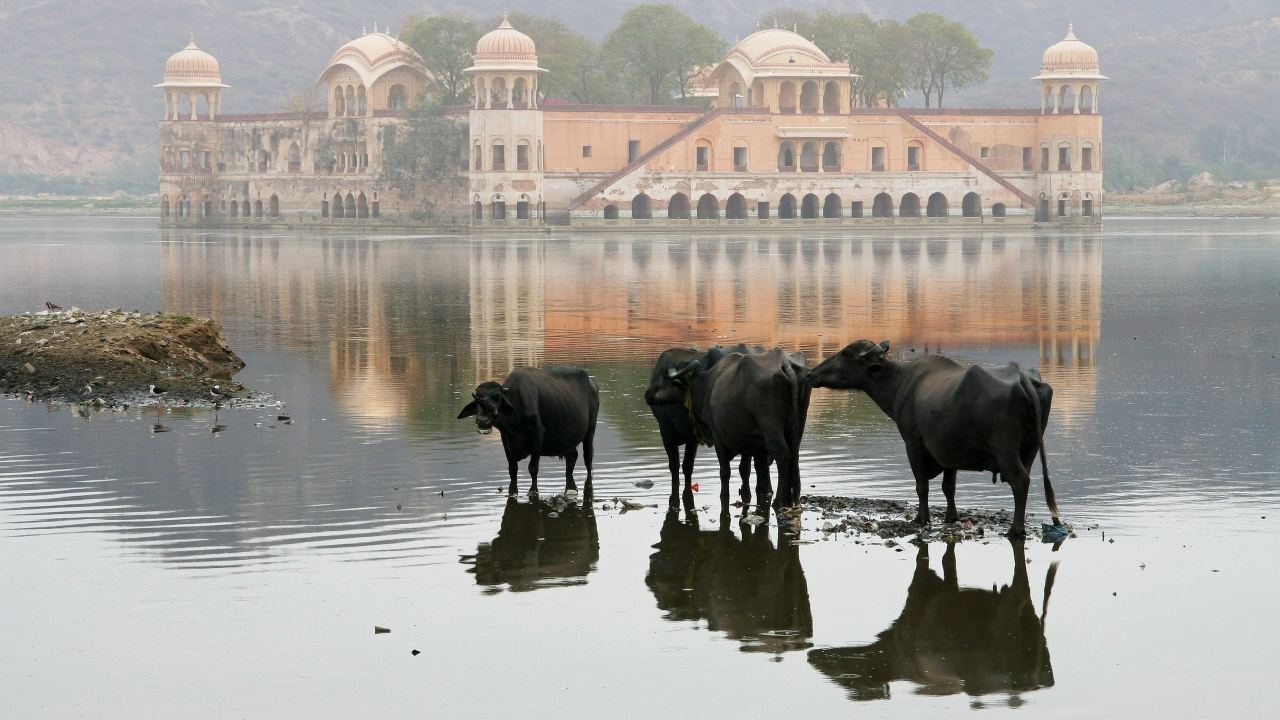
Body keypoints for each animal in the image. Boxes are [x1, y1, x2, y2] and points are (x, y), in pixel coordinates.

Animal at [457, 366, 599, 499]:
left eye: (497, 397)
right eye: (478, 398)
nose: (483, 420)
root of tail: (592, 382)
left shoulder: (537, 436)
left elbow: (533, 468)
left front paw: (532, 491)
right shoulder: (505, 439)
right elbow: (512, 469)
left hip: (590, 431)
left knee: (588, 458)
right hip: (568, 440)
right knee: (572, 457)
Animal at [668, 347, 811, 508]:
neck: (709, 385)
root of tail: (784, 362)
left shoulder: (718, 437)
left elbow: (725, 472)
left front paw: (724, 495)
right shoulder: (753, 442)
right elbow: (748, 469)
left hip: (771, 429)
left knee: (784, 455)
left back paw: (779, 500)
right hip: (797, 427)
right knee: (794, 455)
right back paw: (791, 498)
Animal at [808, 340, 1060, 536]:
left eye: (845, 354)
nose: (811, 373)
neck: (899, 383)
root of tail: (1022, 378)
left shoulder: (913, 443)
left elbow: (922, 485)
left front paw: (922, 518)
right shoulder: (950, 451)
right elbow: (949, 487)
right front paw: (952, 516)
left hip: (1004, 448)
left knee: (1020, 481)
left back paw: (1015, 529)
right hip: (1031, 448)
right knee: (1026, 480)